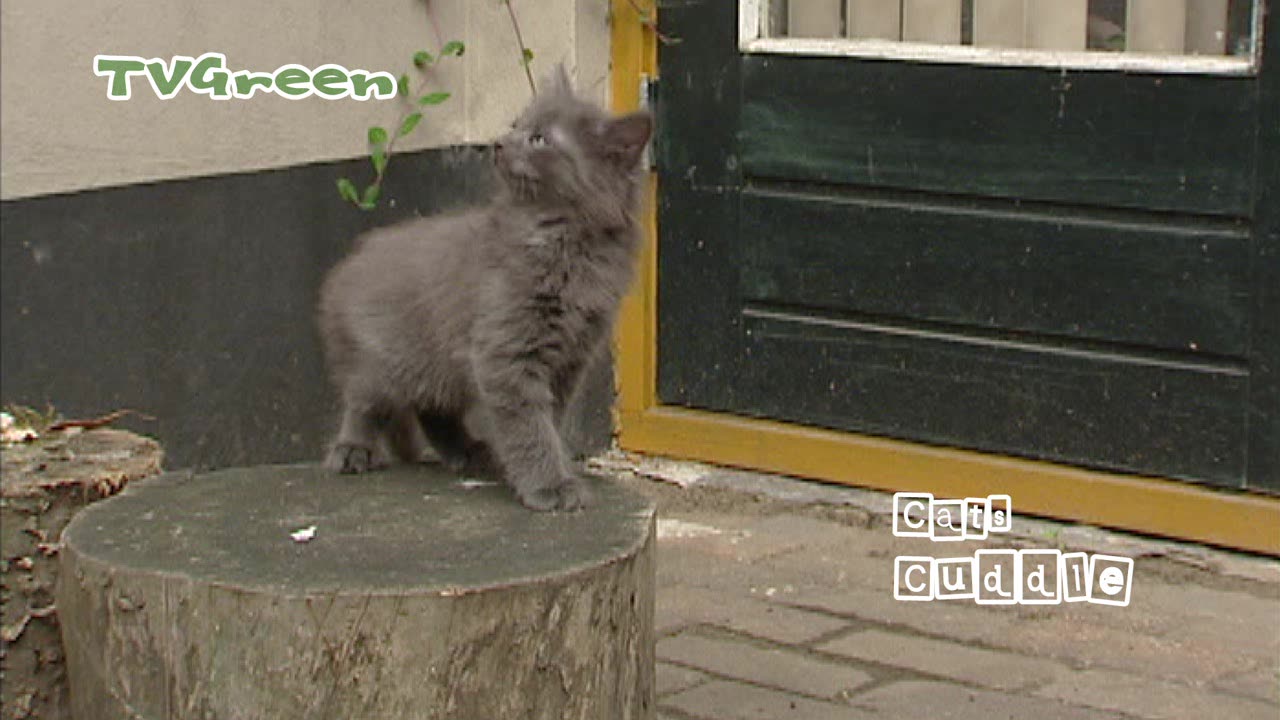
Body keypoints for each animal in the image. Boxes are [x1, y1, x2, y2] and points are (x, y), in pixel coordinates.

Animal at [316, 65, 655, 504]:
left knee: (432, 411)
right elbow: (529, 426)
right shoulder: (507, 351)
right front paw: (551, 485)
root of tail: (349, 263)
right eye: (515, 125)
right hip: (383, 359)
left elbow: (549, 418)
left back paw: (469, 452)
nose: (498, 142)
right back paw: (353, 449)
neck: (563, 241)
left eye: (539, 138)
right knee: (364, 402)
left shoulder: (570, 356)